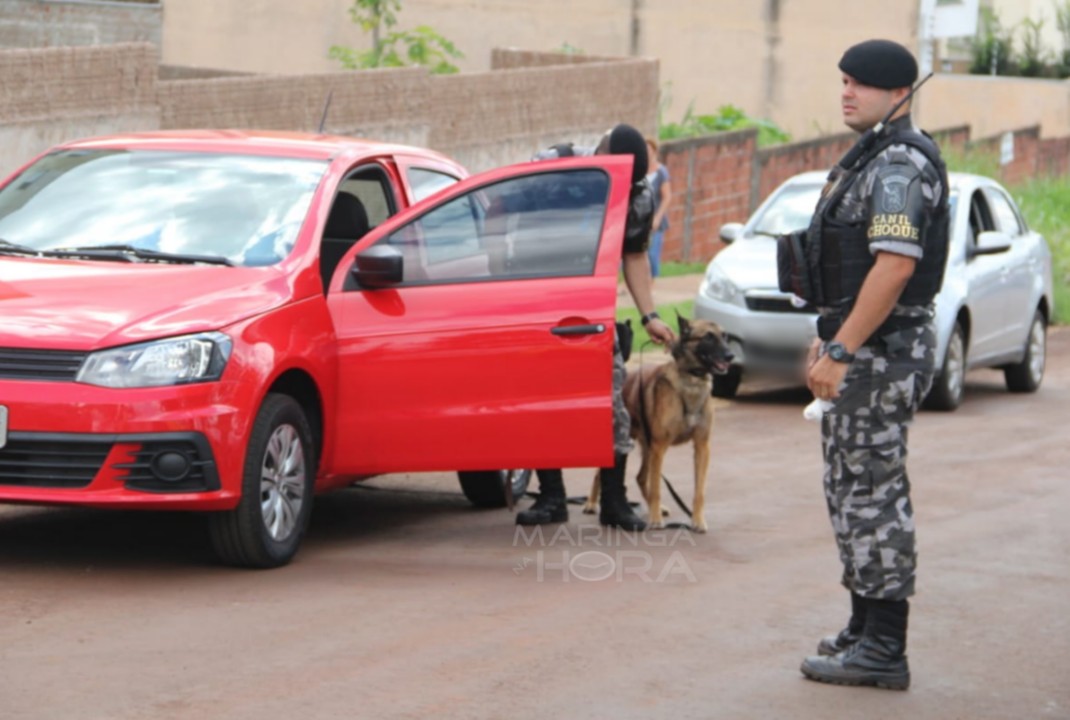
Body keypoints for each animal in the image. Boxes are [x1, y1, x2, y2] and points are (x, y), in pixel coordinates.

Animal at [586, 316, 736, 530]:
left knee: (641, 477)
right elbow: (657, 486)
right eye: (708, 337)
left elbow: (699, 491)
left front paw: (698, 520)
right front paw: (655, 519)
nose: (731, 356)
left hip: (647, 448)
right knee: (602, 474)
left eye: (724, 336)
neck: (691, 381)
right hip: (634, 443)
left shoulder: (702, 447)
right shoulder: (660, 447)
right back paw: (591, 503)